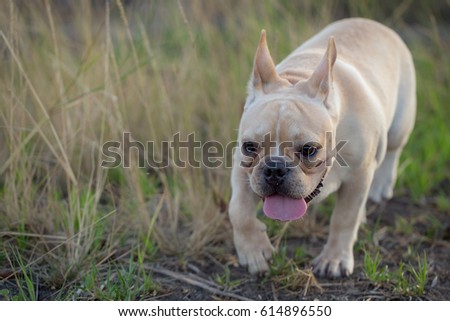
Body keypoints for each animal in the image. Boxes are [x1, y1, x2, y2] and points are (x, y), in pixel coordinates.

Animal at [230, 18, 416, 278]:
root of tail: (373, 24)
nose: (275, 168)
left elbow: (344, 218)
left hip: (400, 124)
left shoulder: (358, 177)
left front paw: (334, 259)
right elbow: (238, 211)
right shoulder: (242, 170)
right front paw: (254, 251)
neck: (298, 77)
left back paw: (381, 185)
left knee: (393, 150)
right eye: (249, 147)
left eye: (309, 150)